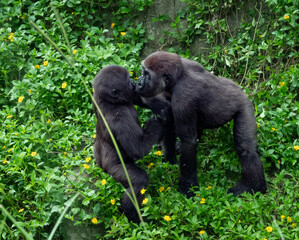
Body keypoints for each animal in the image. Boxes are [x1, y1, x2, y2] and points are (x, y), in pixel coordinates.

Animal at [93, 65, 165, 223]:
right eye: (128, 81)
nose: (134, 82)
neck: (111, 102)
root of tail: (102, 169)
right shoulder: (120, 118)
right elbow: (138, 148)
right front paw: (156, 121)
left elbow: (138, 98)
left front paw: (160, 106)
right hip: (113, 170)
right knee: (138, 182)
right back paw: (134, 216)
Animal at [137, 50, 268, 197]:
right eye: (143, 72)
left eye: (147, 75)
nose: (138, 81)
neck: (177, 78)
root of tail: (244, 93)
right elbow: (168, 119)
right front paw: (170, 161)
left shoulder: (183, 98)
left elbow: (188, 142)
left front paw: (187, 188)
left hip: (245, 107)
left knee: (246, 149)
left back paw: (253, 186)